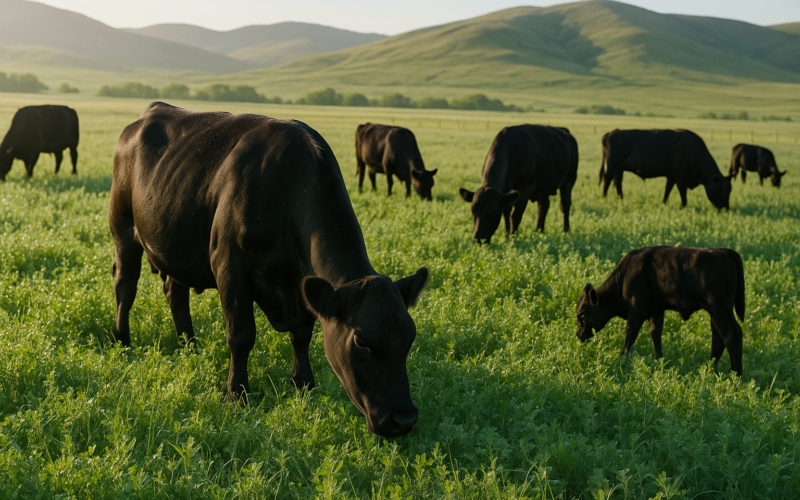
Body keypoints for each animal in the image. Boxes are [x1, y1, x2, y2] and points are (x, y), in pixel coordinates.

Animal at [110, 102, 429, 437]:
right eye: (361, 341)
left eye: (410, 336)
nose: (404, 419)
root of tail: (150, 111)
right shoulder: (229, 265)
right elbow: (241, 335)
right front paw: (236, 394)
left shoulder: (300, 286)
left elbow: (302, 335)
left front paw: (304, 386)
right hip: (123, 227)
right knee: (125, 286)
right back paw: (123, 342)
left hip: (175, 244)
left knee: (175, 292)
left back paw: (190, 348)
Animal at [576, 246, 745, 376]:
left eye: (582, 315)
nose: (578, 335)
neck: (624, 276)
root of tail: (725, 252)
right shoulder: (656, 311)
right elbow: (656, 334)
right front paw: (659, 361)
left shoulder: (636, 312)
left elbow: (630, 334)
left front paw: (621, 360)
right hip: (714, 313)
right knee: (718, 338)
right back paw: (709, 369)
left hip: (720, 310)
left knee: (732, 335)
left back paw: (735, 375)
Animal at [598, 129, 731, 210]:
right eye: (722, 190)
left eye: (729, 190)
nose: (726, 208)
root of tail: (612, 132)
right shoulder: (681, 178)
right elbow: (683, 194)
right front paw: (683, 206)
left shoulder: (672, 176)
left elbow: (667, 190)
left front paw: (664, 203)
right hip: (611, 166)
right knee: (607, 180)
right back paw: (604, 198)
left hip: (619, 169)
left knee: (618, 182)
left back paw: (620, 198)